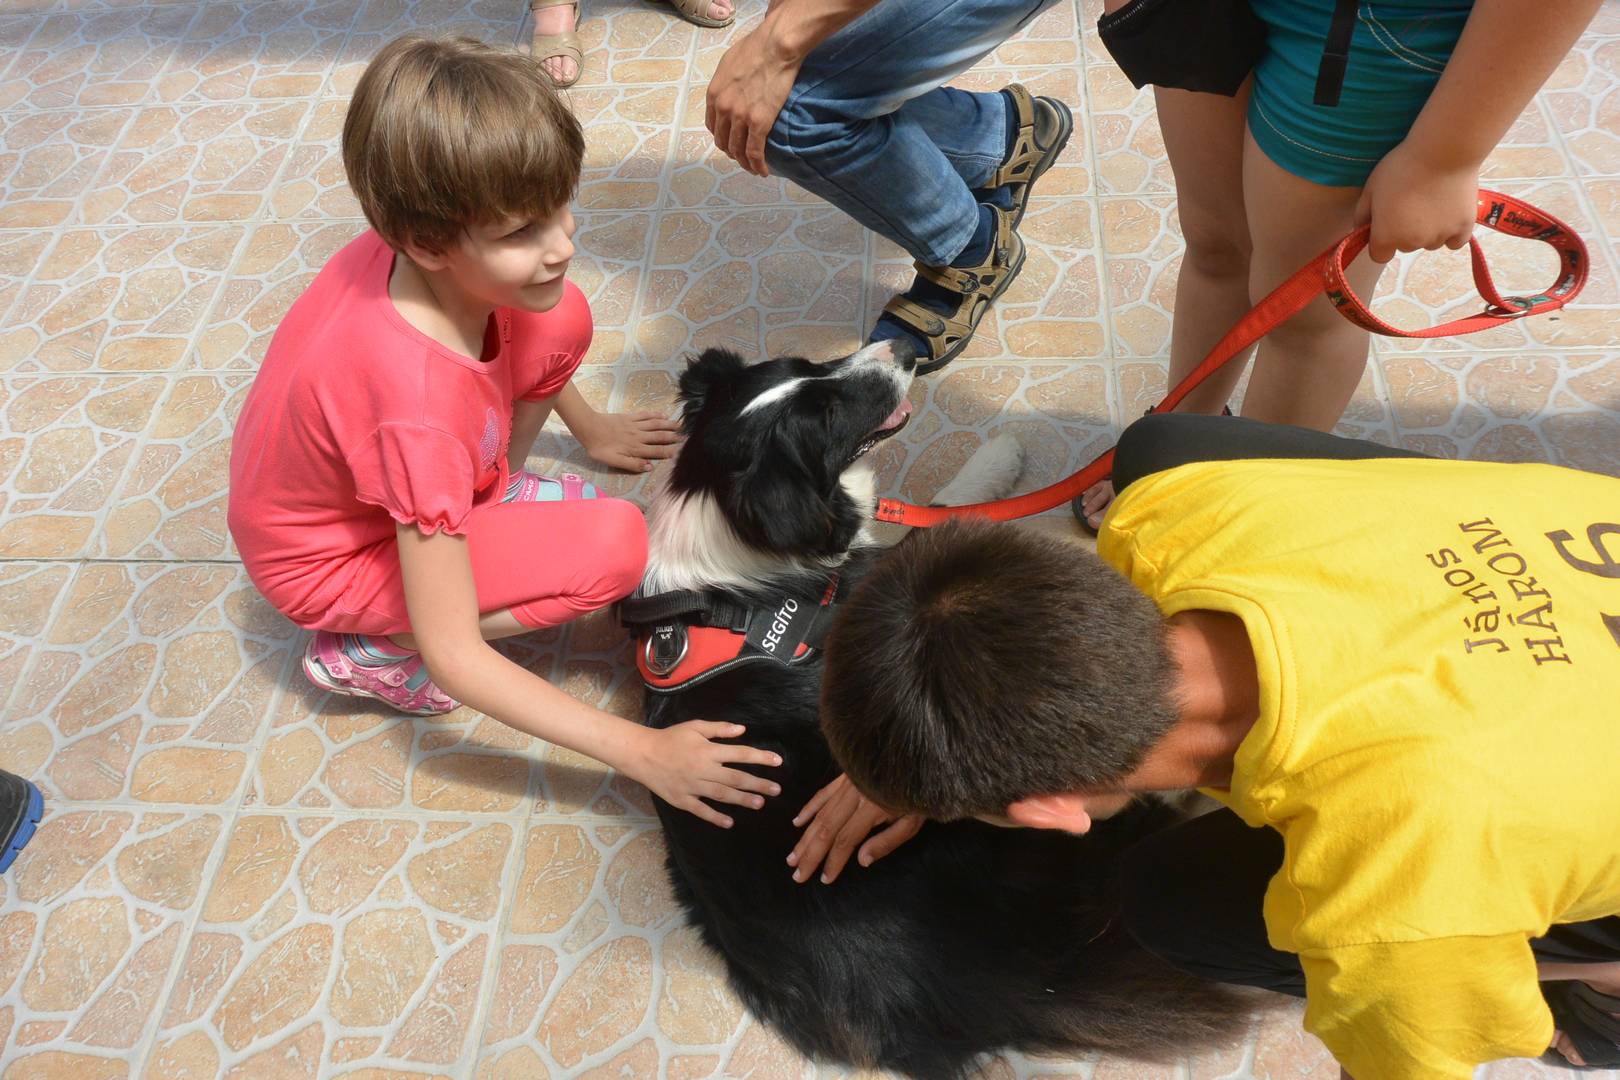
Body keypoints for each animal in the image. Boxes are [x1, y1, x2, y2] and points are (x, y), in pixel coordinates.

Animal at [624, 340, 1240, 1080]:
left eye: (808, 364)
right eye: (825, 414)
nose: (905, 348)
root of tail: (1009, 986)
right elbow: (941, 518)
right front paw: (1002, 455)